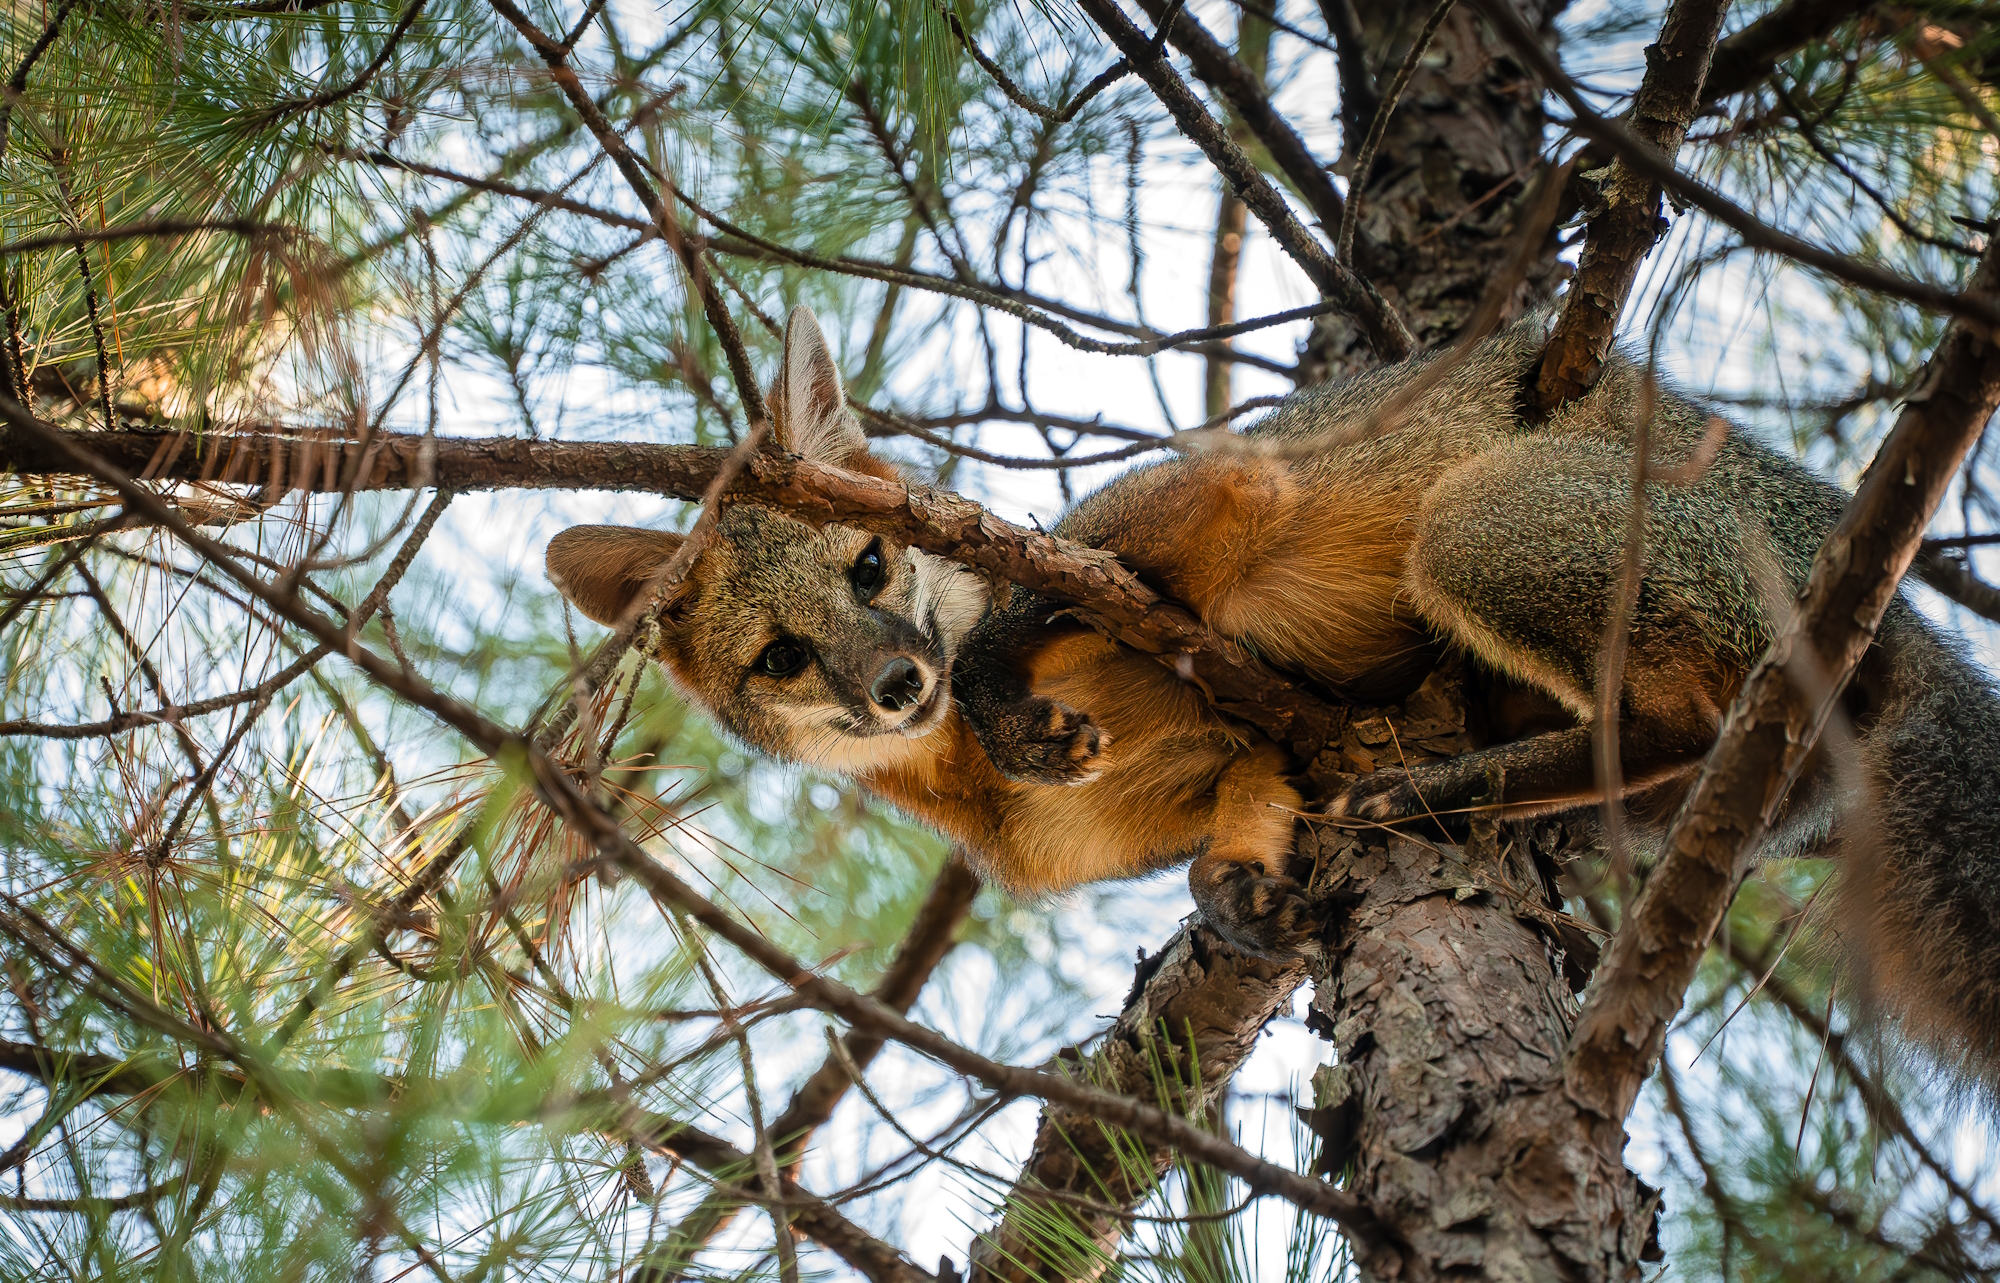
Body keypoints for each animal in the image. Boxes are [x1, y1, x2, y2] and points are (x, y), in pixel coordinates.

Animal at [548, 303, 2000, 1087]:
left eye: (872, 561)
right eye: (783, 657)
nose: (901, 681)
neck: (965, 781)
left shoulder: (1218, 502)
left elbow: (1053, 599)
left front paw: (1006, 685)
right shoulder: (1243, 767)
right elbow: (1236, 831)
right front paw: (1238, 899)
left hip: (1476, 531)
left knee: (1703, 726)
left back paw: (1452, 784)